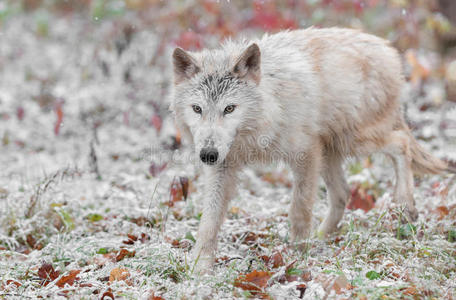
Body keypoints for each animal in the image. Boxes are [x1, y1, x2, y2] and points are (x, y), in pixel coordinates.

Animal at [169, 27, 450, 272]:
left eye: (229, 108)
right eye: (197, 109)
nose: (207, 155)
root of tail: (389, 50)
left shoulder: (305, 154)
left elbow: (299, 208)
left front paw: (297, 257)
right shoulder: (224, 166)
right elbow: (209, 221)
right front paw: (200, 267)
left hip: (352, 140)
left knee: (401, 143)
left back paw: (406, 205)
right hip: (331, 151)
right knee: (343, 193)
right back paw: (322, 237)